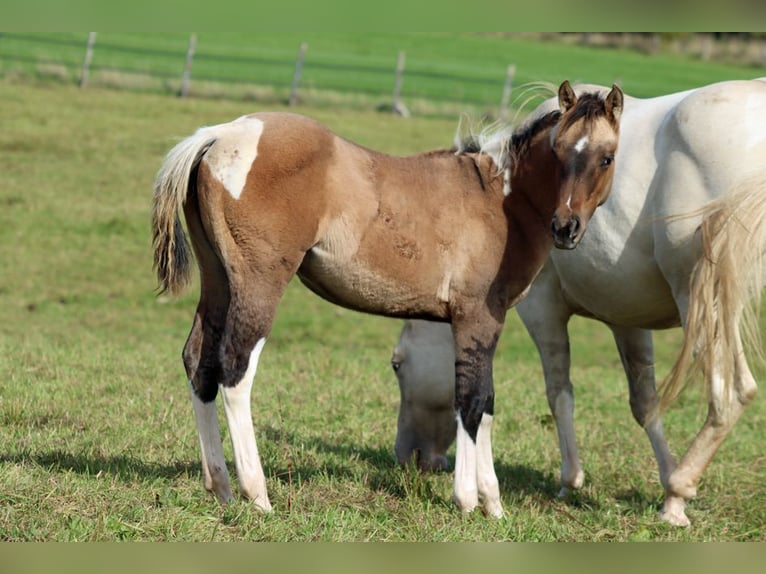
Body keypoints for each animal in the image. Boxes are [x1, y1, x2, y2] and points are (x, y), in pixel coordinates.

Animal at [151, 80, 624, 517]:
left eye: (606, 157)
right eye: (559, 151)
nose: (566, 227)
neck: (500, 197)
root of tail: (220, 135)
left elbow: (486, 403)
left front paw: (493, 503)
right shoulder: (478, 317)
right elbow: (471, 401)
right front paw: (470, 499)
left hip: (218, 281)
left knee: (199, 362)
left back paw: (221, 486)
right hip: (258, 284)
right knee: (235, 368)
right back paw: (257, 493)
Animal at [390, 78, 766, 526]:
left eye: (397, 365)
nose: (408, 457)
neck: (509, 193)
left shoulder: (541, 310)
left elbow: (559, 393)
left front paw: (572, 480)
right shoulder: (628, 319)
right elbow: (645, 404)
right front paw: (664, 477)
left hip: (704, 310)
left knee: (731, 393)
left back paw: (679, 492)